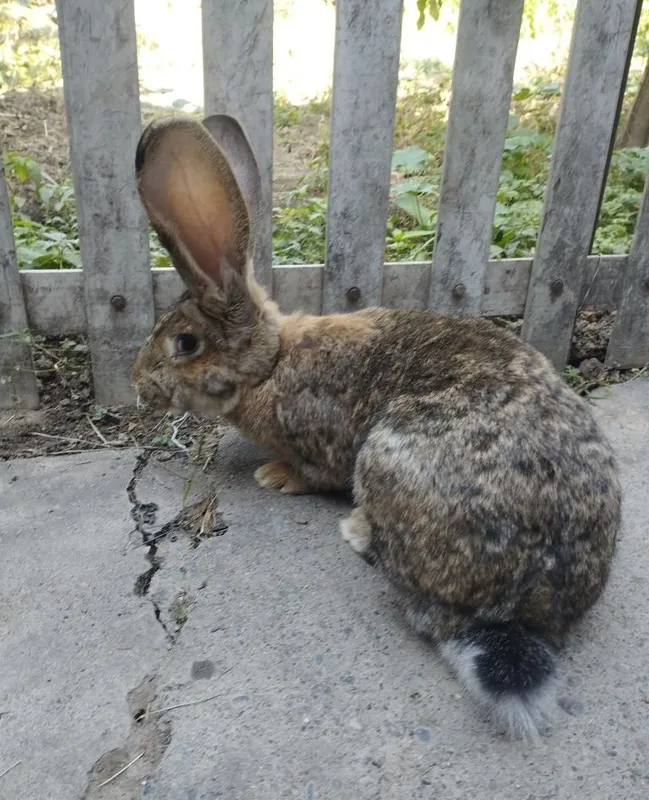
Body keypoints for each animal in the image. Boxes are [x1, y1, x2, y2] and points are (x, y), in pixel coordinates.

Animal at [131, 114, 621, 740]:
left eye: (185, 344)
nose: (137, 383)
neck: (273, 362)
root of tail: (519, 604)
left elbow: (311, 471)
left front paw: (274, 476)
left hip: (383, 456)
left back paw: (357, 531)